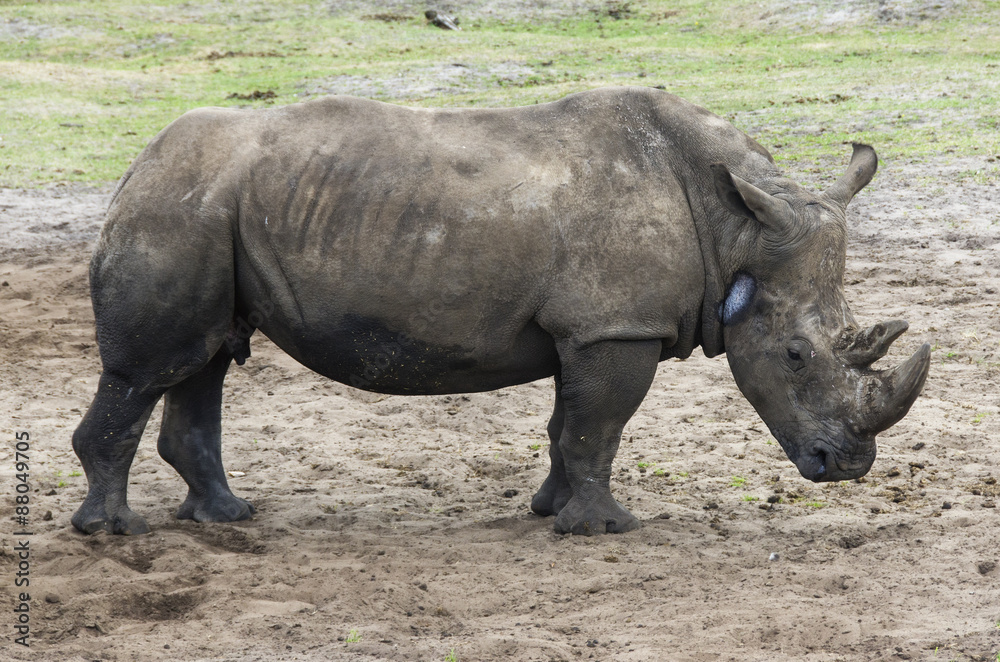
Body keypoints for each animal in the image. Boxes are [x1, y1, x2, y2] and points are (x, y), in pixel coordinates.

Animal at [71, 86, 930, 536]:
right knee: (153, 366)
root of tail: (134, 167)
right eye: (795, 356)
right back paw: (115, 533)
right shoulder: (615, 327)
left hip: (209, 213)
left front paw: (550, 511)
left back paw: (226, 517)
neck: (737, 228)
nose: (846, 467)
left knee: (203, 359)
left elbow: (568, 424)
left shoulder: (587, 330)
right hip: (177, 211)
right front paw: (605, 529)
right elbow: (600, 424)